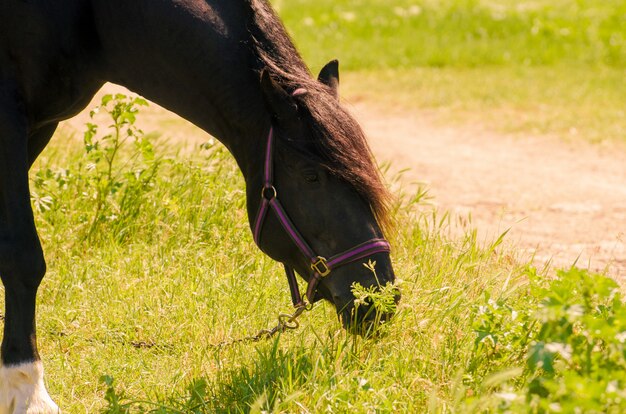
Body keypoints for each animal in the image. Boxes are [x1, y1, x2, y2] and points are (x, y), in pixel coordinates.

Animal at [1, 0, 394, 410]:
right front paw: (28, 394)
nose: (381, 297)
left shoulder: (40, 126)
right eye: (311, 176)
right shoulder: (9, 119)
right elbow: (22, 257)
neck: (92, 17)